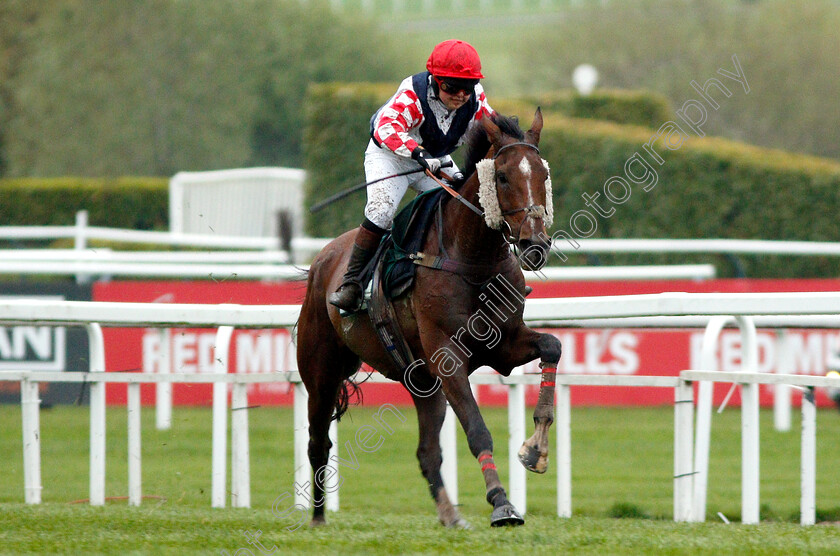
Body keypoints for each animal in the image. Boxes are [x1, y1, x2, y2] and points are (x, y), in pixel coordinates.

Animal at [298, 109, 560, 528]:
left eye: (543, 174)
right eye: (502, 176)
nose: (534, 244)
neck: (472, 260)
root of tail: (324, 257)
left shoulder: (502, 346)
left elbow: (552, 345)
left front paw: (535, 450)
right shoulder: (448, 357)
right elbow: (477, 429)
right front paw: (502, 503)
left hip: (423, 383)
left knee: (426, 452)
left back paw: (451, 516)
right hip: (321, 371)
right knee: (318, 442)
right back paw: (319, 518)